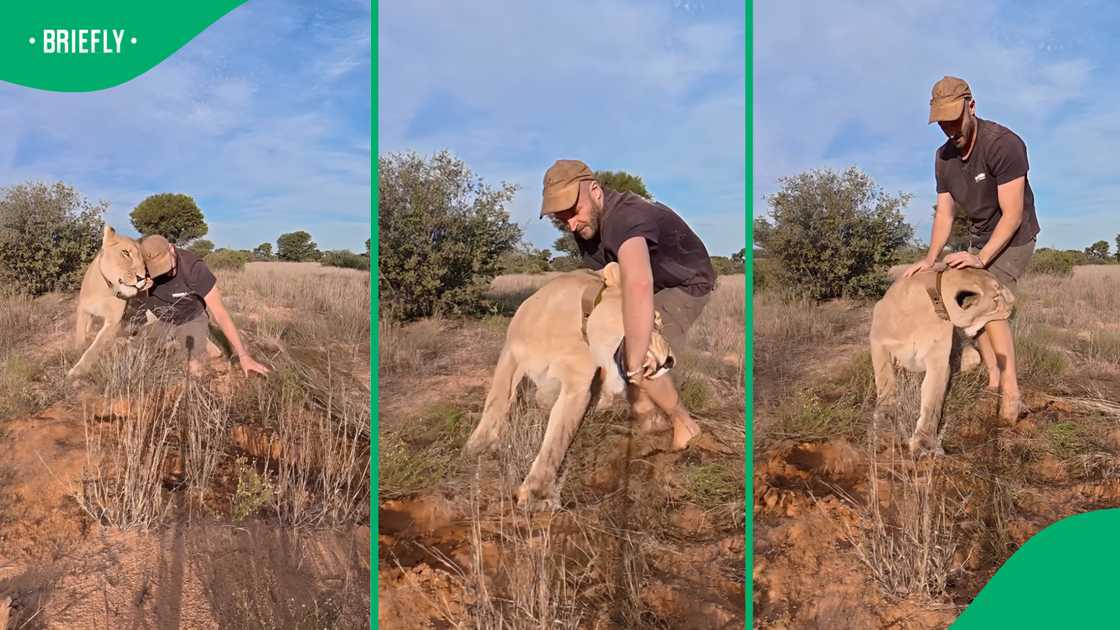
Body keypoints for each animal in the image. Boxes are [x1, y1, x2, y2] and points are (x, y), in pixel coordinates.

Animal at [67, 225, 150, 379]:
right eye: (125, 253)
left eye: (143, 259)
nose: (142, 278)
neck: (105, 290)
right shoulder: (83, 309)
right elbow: (80, 335)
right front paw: (77, 350)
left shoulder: (114, 321)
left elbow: (94, 348)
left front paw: (77, 370)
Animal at [464, 262, 673, 510]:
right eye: (654, 322)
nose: (671, 361)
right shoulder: (511, 354)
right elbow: (497, 398)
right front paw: (477, 445)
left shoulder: (577, 387)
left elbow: (557, 440)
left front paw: (536, 494)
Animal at [870, 263, 1015, 456]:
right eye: (996, 297)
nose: (1014, 302)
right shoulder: (878, 343)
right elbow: (885, 384)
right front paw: (886, 428)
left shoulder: (938, 361)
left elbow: (933, 400)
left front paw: (924, 443)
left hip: (972, 355)